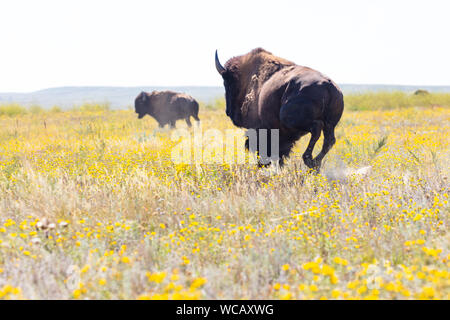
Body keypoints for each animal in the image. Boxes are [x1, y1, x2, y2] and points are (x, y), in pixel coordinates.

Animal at [215, 47, 344, 170]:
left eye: (227, 83)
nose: (228, 111)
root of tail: (328, 85)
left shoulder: (260, 129)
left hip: (290, 120)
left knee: (317, 129)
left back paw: (309, 160)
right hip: (330, 124)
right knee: (329, 140)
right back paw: (315, 163)